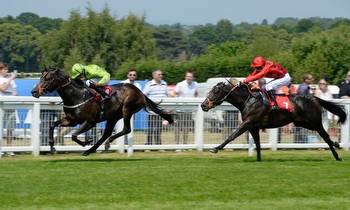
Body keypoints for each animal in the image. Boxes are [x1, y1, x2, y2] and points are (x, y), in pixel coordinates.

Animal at [31, 67, 174, 156]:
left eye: (48, 78)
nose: (34, 92)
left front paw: (86, 142)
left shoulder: (90, 121)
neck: (76, 95)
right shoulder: (71, 120)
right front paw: (51, 146)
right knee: (107, 133)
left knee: (125, 129)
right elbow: (52, 125)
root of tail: (140, 92)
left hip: (127, 109)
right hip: (113, 116)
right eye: (40, 77)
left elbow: (74, 135)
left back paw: (106, 143)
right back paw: (92, 150)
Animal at [201, 82, 346, 161]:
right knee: (324, 135)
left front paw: (215, 148)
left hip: (314, 122)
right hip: (301, 122)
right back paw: (336, 144)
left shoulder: (247, 123)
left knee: (325, 135)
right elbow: (258, 145)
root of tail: (315, 98)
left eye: (216, 91)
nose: (203, 105)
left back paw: (337, 155)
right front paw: (259, 160)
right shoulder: (253, 127)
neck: (248, 100)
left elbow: (232, 135)